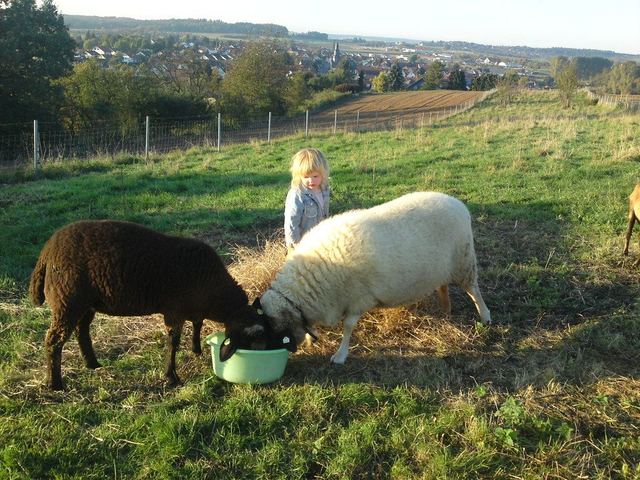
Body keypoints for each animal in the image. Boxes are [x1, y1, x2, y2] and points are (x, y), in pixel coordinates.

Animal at [29, 219, 281, 390]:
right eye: (258, 337)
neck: (214, 289)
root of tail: (47, 252)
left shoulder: (193, 306)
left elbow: (197, 324)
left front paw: (196, 350)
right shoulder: (175, 310)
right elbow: (173, 342)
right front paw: (171, 376)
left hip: (86, 303)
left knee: (82, 331)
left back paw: (92, 364)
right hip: (68, 301)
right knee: (54, 340)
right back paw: (55, 383)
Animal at [248, 191, 492, 364]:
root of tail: (457, 203)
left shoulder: (359, 299)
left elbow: (348, 327)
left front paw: (340, 355)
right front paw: (311, 340)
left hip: (464, 261)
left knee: (474, 290)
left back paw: (485, 316)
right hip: (443, 267)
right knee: (443, 286)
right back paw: (446, 311)